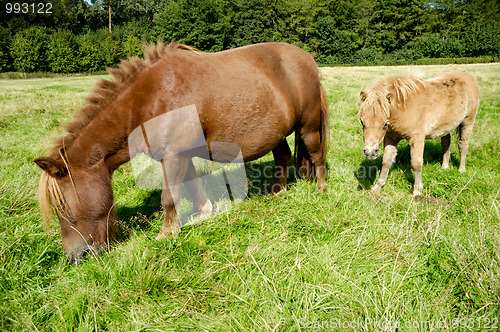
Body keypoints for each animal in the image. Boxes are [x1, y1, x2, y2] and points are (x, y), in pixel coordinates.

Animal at [31, 42, 328, 264]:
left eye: (63, 205)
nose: (75, 257)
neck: (149, 99)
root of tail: (305, 57)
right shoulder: (183, 155)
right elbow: (191, 186)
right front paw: (203, 212)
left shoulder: (173, 155)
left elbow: (168, 198)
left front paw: (165, 234)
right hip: (277, 133)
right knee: (283, 157)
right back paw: (278, 192)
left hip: (308, 125)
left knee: (316, 155)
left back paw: (322, 189)